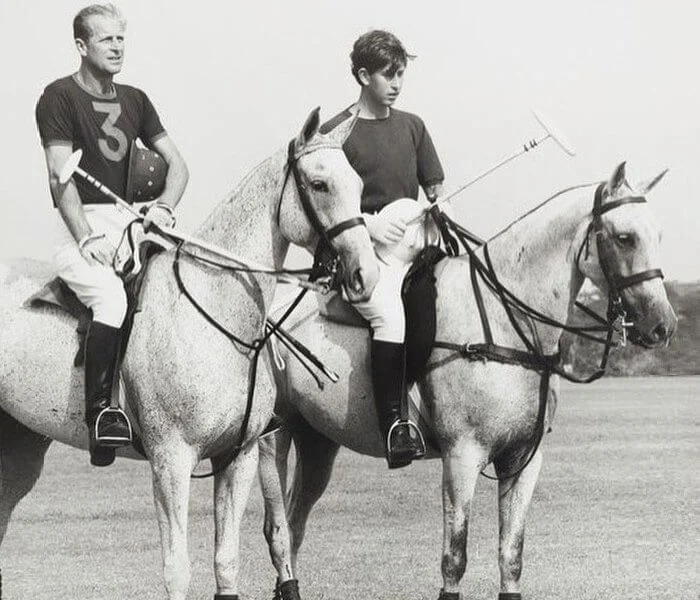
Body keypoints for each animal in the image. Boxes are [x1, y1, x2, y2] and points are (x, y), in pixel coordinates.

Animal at [0, 109, 378, 600]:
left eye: (358, 182)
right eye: (319, 184)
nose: (366, 273)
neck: (217, 313)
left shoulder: (239, 456)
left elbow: (227, 561)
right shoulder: (171, 460)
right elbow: (177, 569)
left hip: (19, 441)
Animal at [258, 163, 680, 600]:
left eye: (659, 235)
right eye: (625, 237)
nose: (663, 326)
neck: (505, 319)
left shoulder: (523, 457)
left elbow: (511, 554)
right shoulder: (462, 454)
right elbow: (455, 556)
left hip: (318, 439)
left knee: (296, 520)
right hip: (272, 436)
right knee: (278, 528)